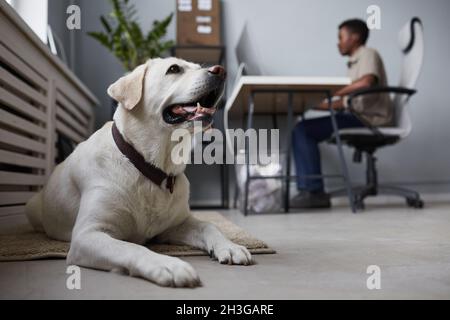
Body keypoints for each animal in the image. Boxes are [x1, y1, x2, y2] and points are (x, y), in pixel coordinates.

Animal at [24, 57, 251, 288]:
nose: (220, 71)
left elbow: (209, 225)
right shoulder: (86, 235)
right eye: (174, 69)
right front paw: (168, 265)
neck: (150, 166)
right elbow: (130, 246)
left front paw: (229, 246)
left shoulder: (175, 225)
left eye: (198, 66)